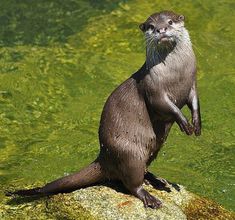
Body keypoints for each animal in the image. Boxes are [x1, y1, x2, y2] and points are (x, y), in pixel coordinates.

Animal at [7, 10, 202, 210]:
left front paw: (196, 124)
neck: (176, 74)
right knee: (132, 183)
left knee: (144, 169)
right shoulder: (153, 88)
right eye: (151, 26)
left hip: (152, 149)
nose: (161, 30)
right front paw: (184, 123)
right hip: (130, 153)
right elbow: (165, 106)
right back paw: (150, 197)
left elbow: (194, 101)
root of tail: (104, 157)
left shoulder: (192, 83)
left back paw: (157, 180)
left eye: (170, 22)